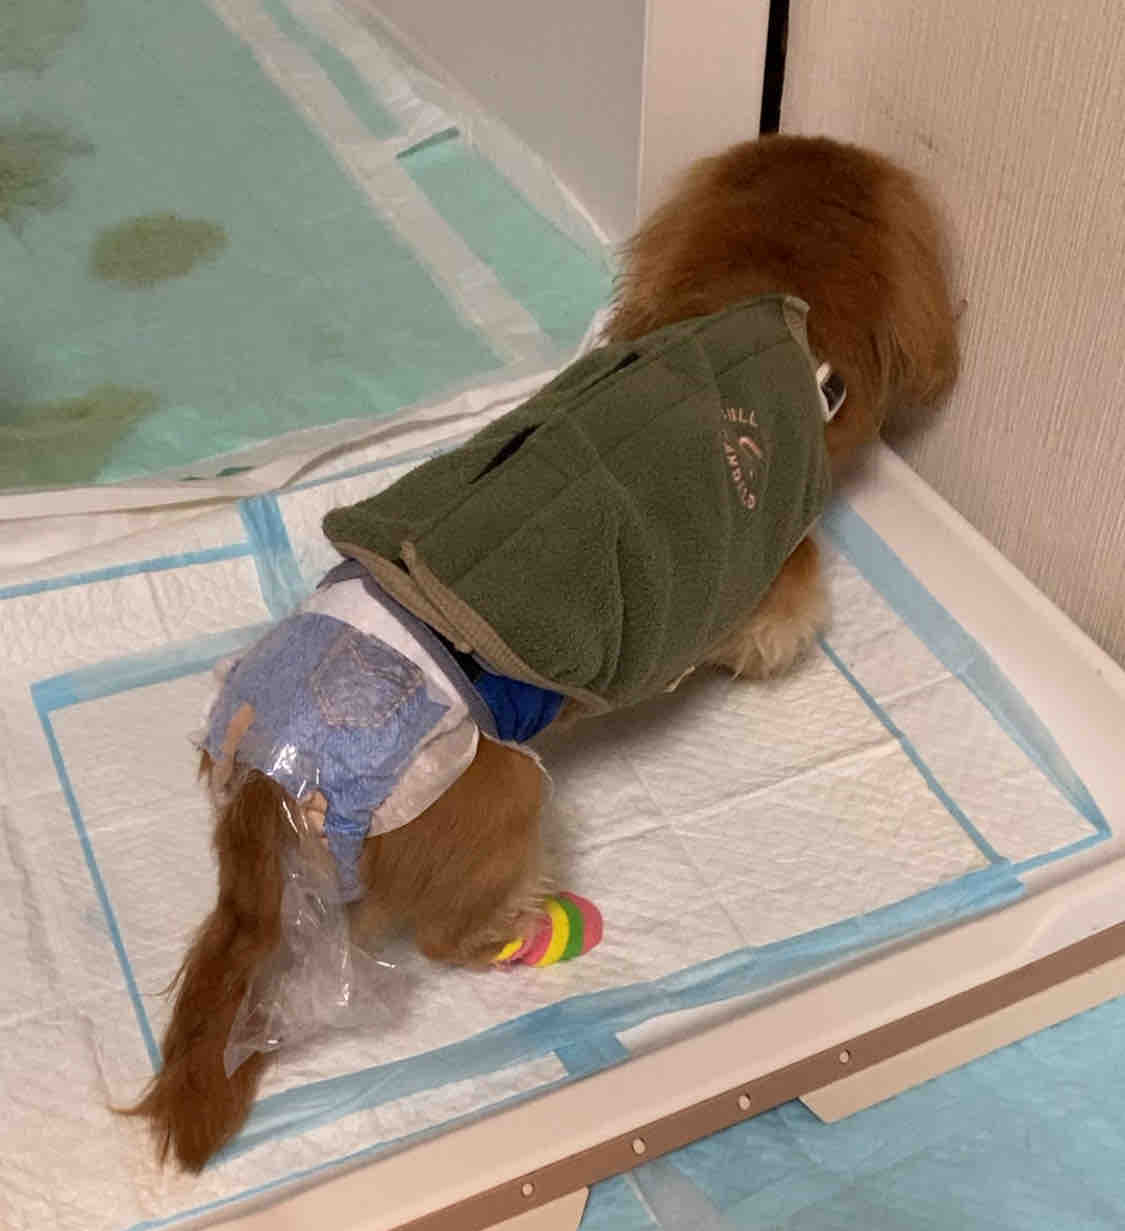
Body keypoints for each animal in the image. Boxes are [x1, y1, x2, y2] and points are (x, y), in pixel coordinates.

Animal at [127, 134, 958, 1170]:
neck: (753, 296)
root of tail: (278, 768)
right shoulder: (769, 565)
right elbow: (781, 617)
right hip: (506, 790)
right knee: (445, 935)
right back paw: (521, 920)